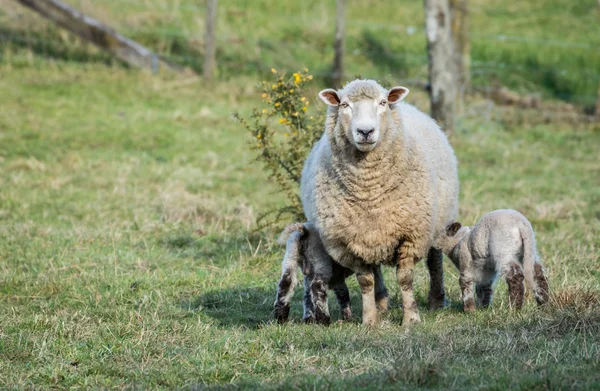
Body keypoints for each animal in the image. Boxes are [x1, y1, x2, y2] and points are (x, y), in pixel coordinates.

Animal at [300, 79, 460, 324]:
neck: (370, 192)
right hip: (371, 234)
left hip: (437, 220)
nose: (365, 131)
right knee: (375, 269)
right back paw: (382, 303)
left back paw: (436, 301)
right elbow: (366, 280)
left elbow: (405, 278)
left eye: (382, 103)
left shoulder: (411, 235)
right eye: (344, 105)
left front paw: (411, 319)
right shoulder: (350, 242)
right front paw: (369, 320)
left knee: (435, 259)